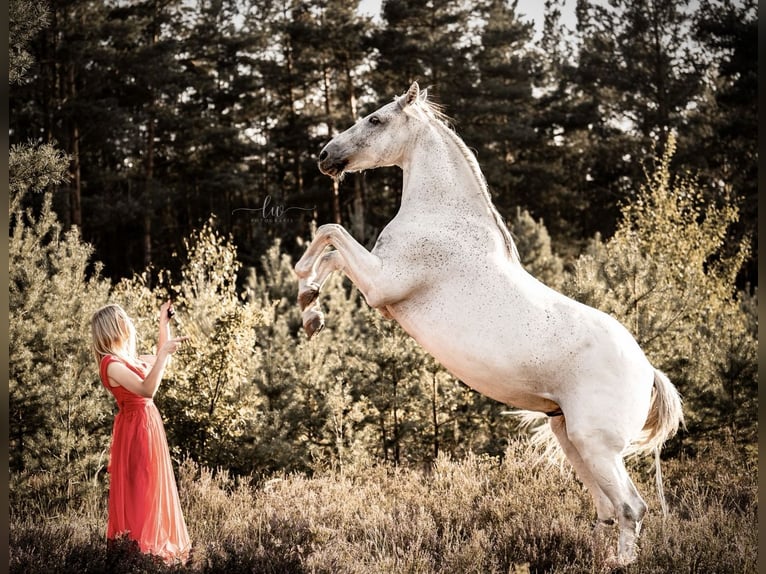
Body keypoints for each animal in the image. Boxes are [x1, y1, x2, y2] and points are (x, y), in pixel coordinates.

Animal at [295, 81, 684, 567]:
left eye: (375, 119)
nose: (325, 155)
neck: (444, 218)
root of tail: (649, 371)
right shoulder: (377, 285)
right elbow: (329, 249)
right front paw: (310, 306)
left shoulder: (382, 285)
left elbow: (329, 236)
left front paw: (306, 299)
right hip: (570, 439)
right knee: (607, 510)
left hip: (595, 444)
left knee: (632, 507)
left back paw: (619, 563)